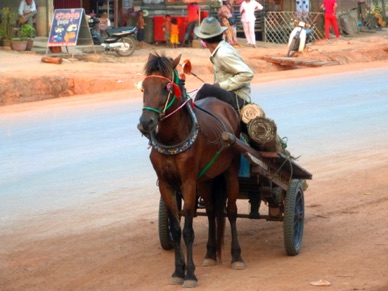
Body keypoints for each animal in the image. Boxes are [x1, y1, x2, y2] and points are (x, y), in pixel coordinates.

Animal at [138, 53, 244, 288]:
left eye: (166, 87)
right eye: (143, 87)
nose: (145, 122)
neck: (172, 139)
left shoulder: (187, 182)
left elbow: (188, 230)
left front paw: (190, 274)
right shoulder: (166, 184)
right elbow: (176, 229)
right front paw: (178, 271)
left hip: (231, 171)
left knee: (231, 211)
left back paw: (236, 257)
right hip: (205, 179)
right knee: (213, 211)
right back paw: (210, 254)